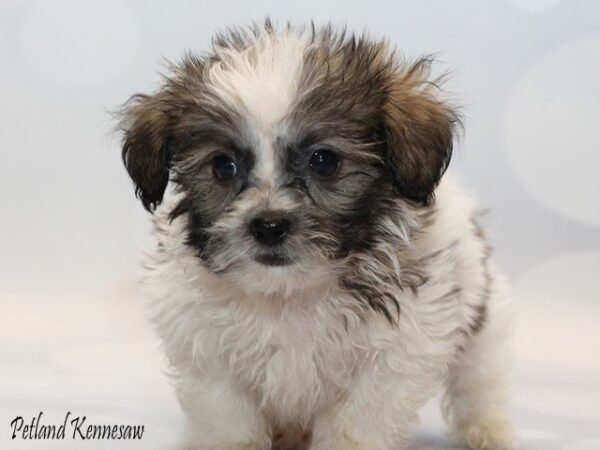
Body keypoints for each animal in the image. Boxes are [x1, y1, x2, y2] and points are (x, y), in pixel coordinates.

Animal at [117, 22, 516, 450]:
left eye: (324, 161)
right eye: (223, 166)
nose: (269, 225)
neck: (289, 293)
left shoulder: (396, 350)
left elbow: (360, 420)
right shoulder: (205, 347)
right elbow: (227, 416)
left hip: (483, 317)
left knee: (479, 378)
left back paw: (488, 428)